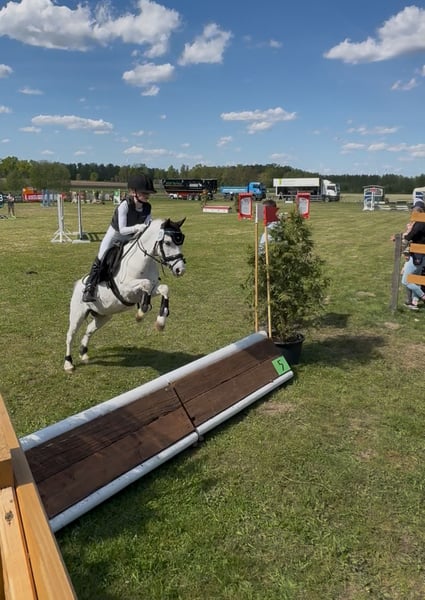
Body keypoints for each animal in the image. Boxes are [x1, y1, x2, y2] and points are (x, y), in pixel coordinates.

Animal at [64, 218, 186, 372]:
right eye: (168, 242)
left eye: (180, 242)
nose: (180, 270)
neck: (142, 261)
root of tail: (78, 285)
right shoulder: (125, 290)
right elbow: (146, 284)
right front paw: (141, 312)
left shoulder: (151, 289)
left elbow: (164, 288)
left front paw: (160, 322)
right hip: (77, 314)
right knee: (70, 335)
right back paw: (68, 363)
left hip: (103, 316)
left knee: (89, 330)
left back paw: (84, 353)